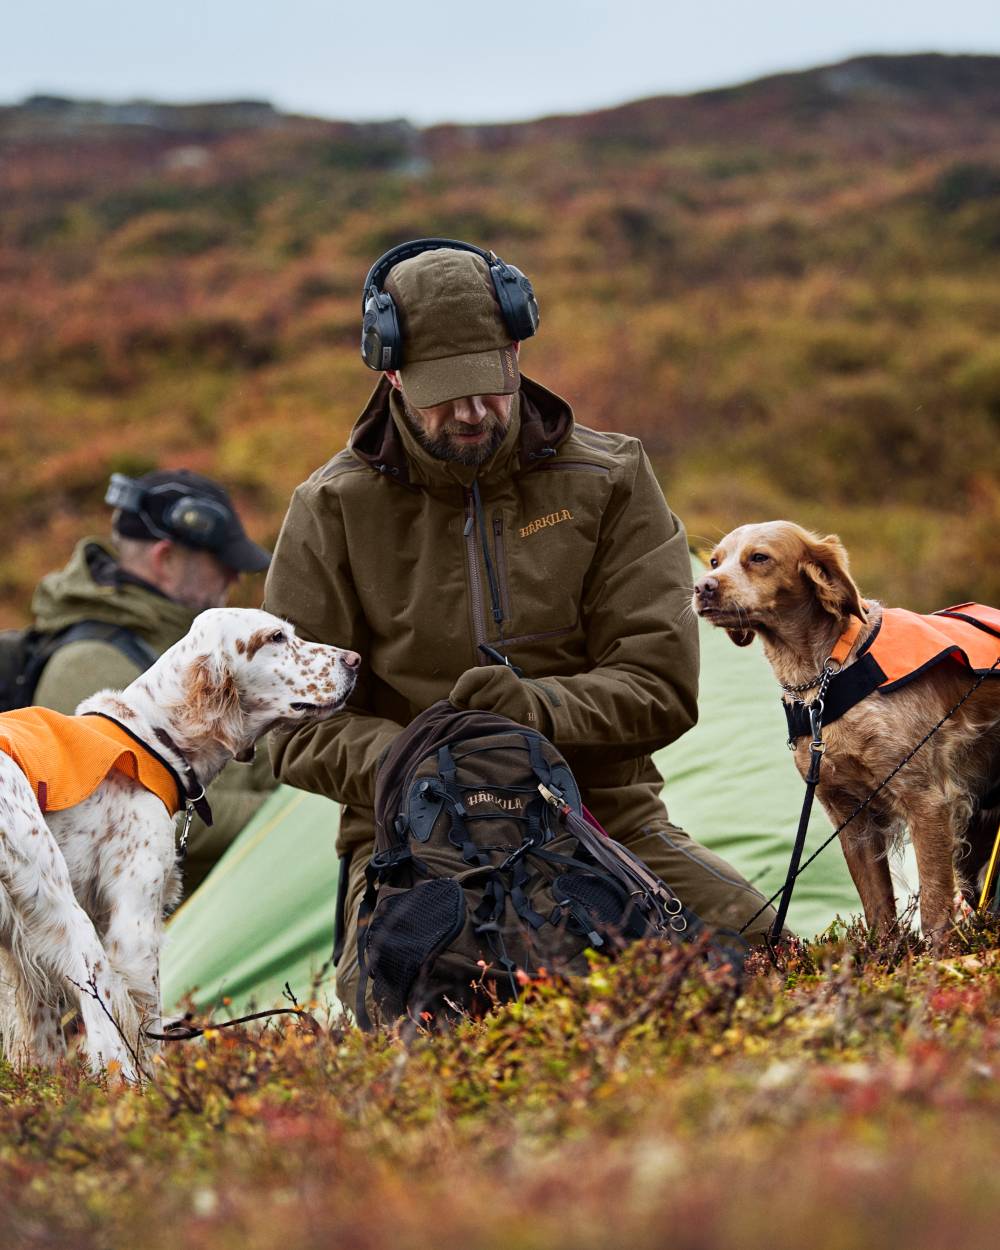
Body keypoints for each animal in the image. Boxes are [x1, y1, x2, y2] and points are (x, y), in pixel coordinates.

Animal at [0, 610, 360, 1080]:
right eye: (276, 637)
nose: (355, 660)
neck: (154, 737)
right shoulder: (133, 925)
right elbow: (144, 1026)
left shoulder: (19, 948)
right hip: (65, 912)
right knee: (103, 1025)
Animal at [690, 522, 1000, 940]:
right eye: (714, 561)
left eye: (759, 557)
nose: (702, 587)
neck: (823, 679)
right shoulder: (850, 818)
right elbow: (878, 914)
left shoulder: (928, 803)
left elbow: (935, 909)